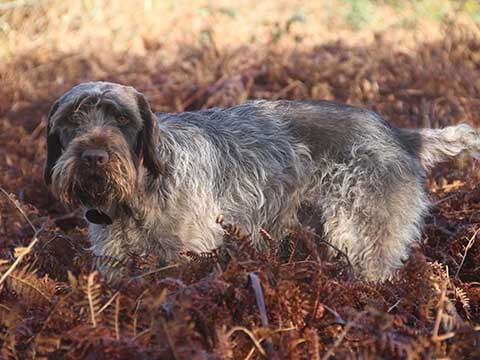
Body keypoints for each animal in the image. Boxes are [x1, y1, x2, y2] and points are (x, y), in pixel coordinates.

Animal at [45, 81, 480, 282]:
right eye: (71, 120)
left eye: (122, 119)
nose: (93, 157)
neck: (136, 197)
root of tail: (402, 135)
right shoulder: (115, 265)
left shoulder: (191, 255)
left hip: (362, 240)